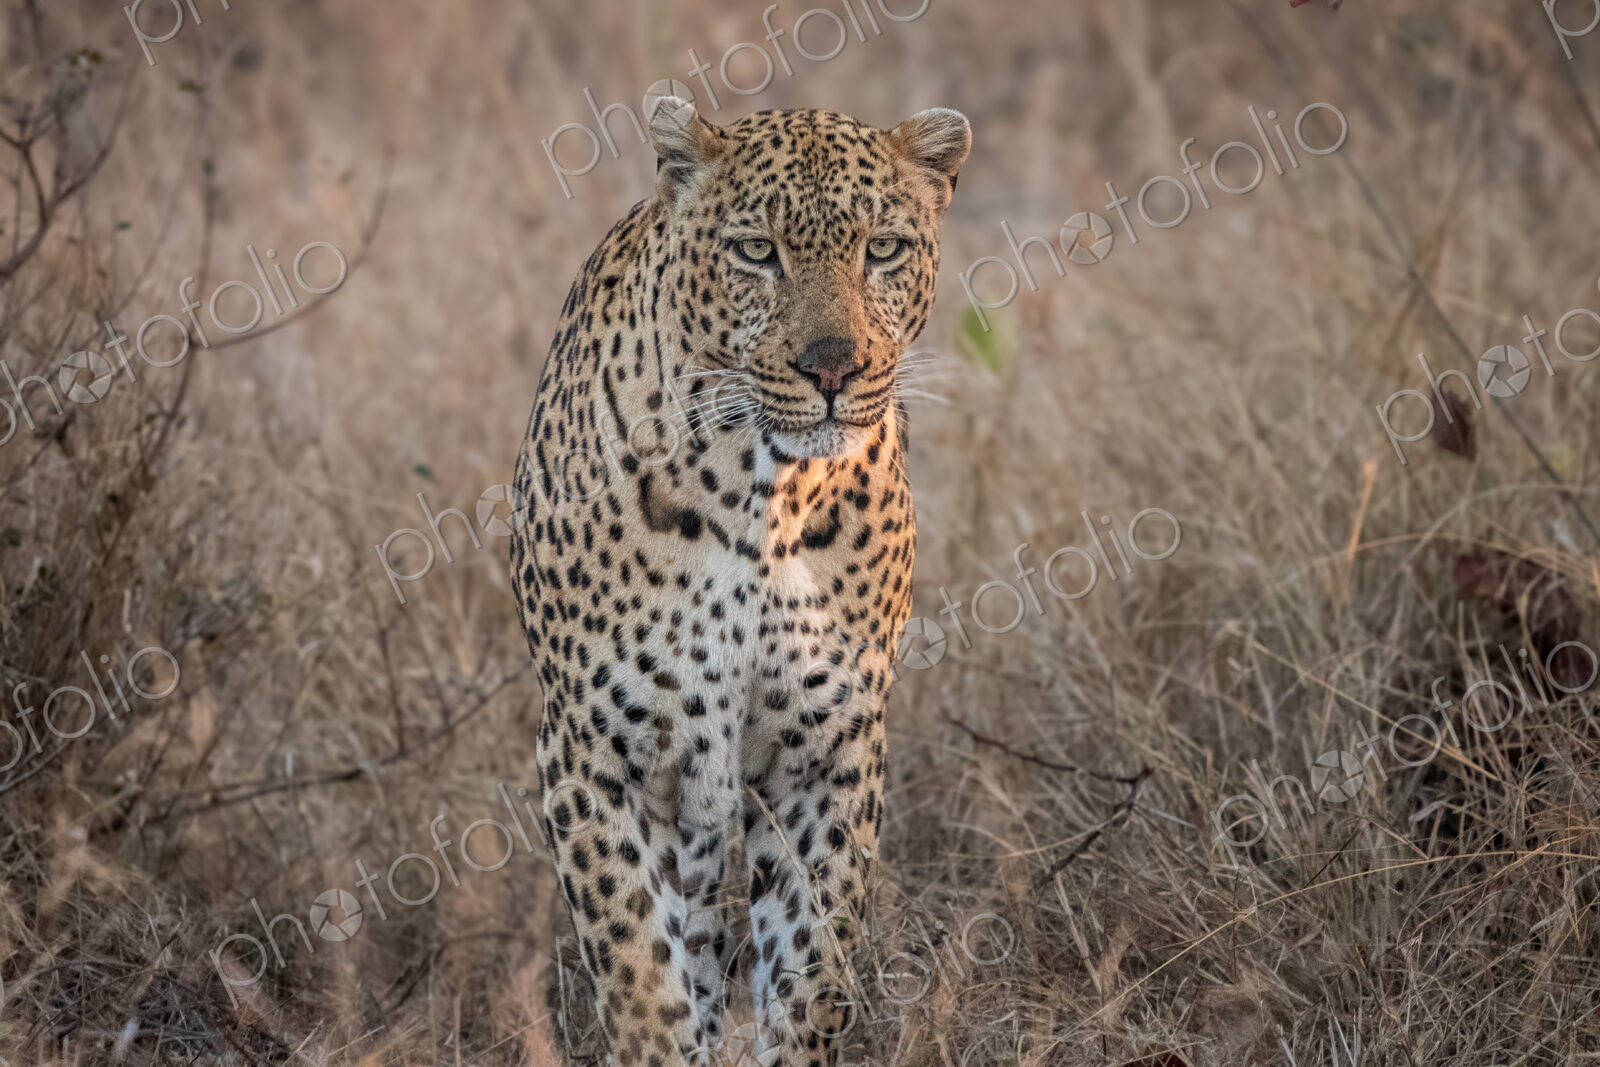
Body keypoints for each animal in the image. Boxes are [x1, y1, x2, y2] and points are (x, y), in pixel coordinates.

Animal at [510, 98, 970, 1067]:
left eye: (883, 248)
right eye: (758, 251)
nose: (832, 366)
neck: (761, 494)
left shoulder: (828, 752)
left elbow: (811, 967)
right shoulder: (595, 755)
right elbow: (640, 974)